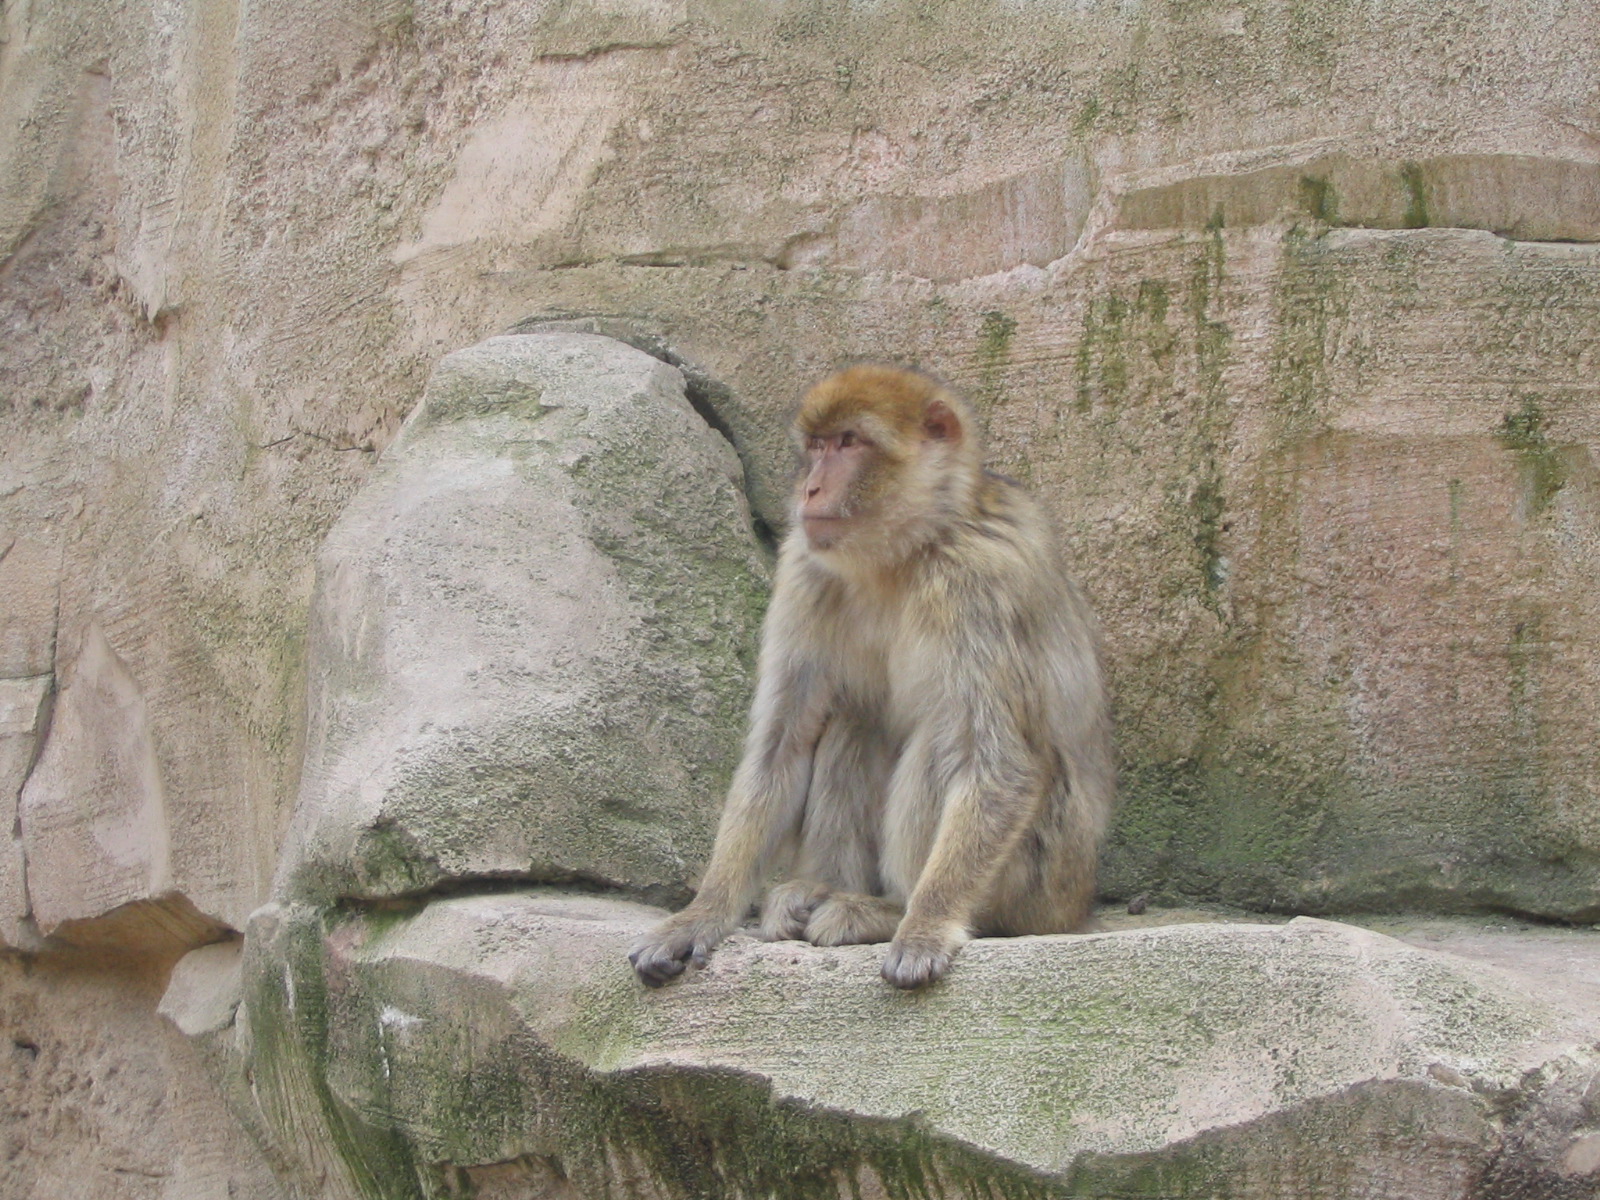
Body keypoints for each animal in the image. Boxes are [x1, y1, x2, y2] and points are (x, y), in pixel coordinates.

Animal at [627, 366, 1113, 998]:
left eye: (850, 443)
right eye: (816, 446)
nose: (809, 490)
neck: (904, 553)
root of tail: (1078, 904)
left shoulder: (977, 583)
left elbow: (998, 765)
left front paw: (927, 923)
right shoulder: (804, 569)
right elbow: (781, 746)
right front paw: (702, 915)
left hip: (1041, 880)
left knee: (942, 738)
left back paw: (889, 911)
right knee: (853, 722)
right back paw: (823, 891)